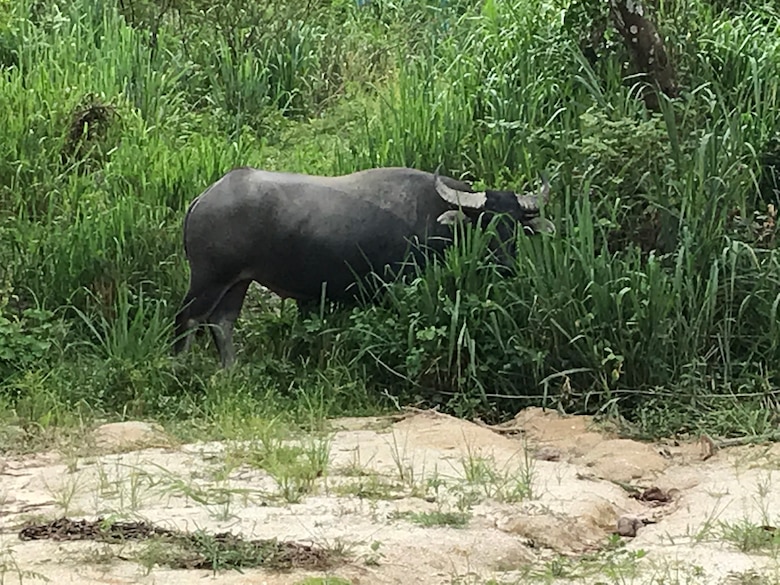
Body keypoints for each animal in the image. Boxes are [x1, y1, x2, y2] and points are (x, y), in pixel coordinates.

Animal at [174, 164, 552, 364]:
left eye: (516, 224)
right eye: (484, 222)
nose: (507, 265)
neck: (435, 220)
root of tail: (202, 199)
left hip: (237, 281)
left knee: (222, 323)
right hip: (209, 278)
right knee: (188, 319)